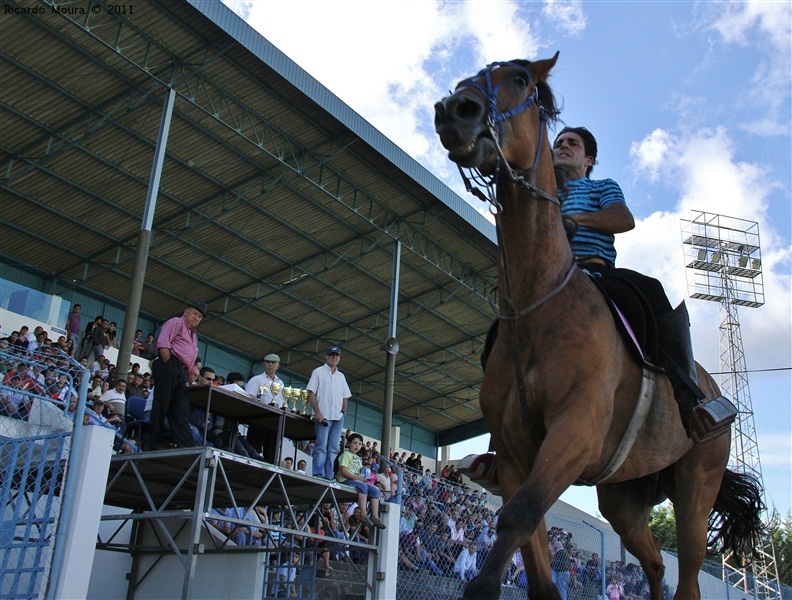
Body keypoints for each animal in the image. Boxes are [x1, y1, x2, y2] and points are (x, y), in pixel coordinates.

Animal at [430, 51, 764, 600]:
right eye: (464, 80)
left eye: (519, 78)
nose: (454, 110)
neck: (538, 308)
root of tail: (715, 390)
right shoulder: (519, 454)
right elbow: (532, 551)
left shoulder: (576, 431)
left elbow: (515, 518)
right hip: (624, 499)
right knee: (655, 563)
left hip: (697, 487)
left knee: (688, 573)